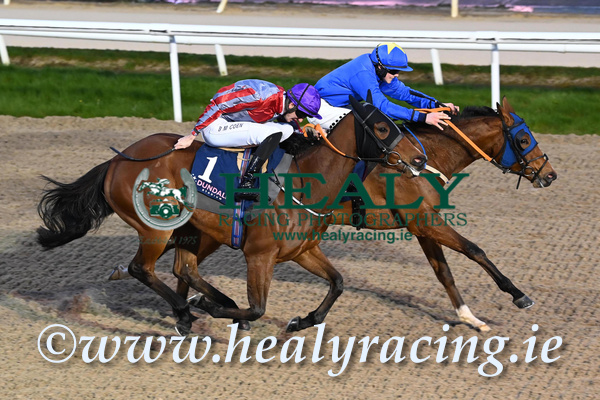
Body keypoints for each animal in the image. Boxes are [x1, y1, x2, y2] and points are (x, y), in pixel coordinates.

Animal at [36, 98, 426, 336]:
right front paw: (215, 310)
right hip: (156, 228)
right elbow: (257, 309)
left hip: (191, 228)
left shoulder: (302, 251)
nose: (419, 159)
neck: (302, 182)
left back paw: (201, 304)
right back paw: (186, 312)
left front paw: (301, 321)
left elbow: (338, 282)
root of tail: (117, 161)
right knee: (142, 269)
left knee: (184, 269)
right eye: (382, 129)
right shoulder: (260, 255)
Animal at [123, 96, 556, 332]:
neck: (427, 156)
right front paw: (518, 295)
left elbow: (444, 271)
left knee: (183, 265)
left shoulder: (421, 224)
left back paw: (189, 313)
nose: (549, 175)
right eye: (523, 138)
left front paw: (469, 317)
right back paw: (188, 312)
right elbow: (474, 250)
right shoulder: (424, 219)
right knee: (176, 263)